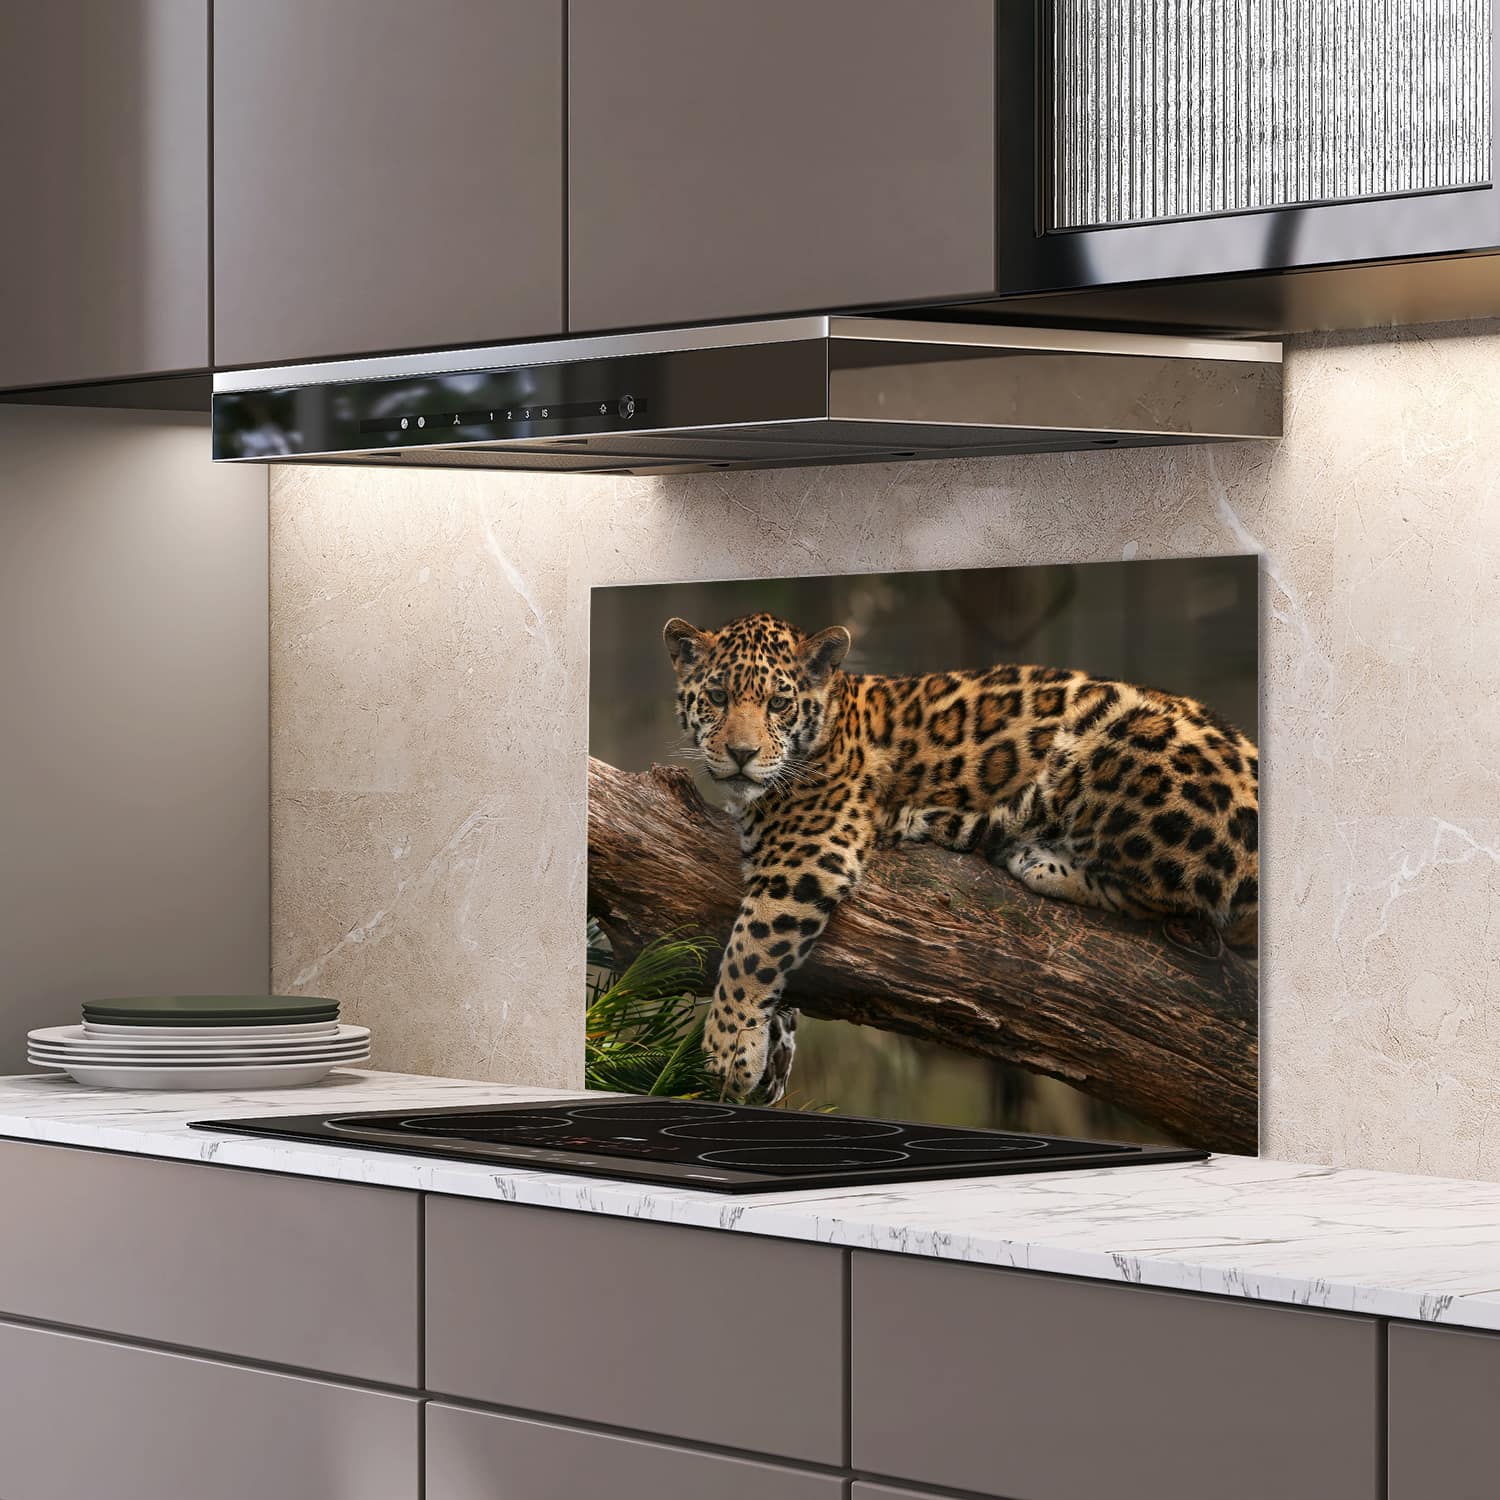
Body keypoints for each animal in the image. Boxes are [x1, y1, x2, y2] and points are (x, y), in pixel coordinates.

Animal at [664, 611, 1259, 1103]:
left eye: (778, 703)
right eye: (717, 697)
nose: (741, 754)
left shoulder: (807, 854)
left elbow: (752, 948)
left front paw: (726, 1050)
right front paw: (773, 1046)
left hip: (1115, 733)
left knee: (1181, 897)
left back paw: (1033, 857)